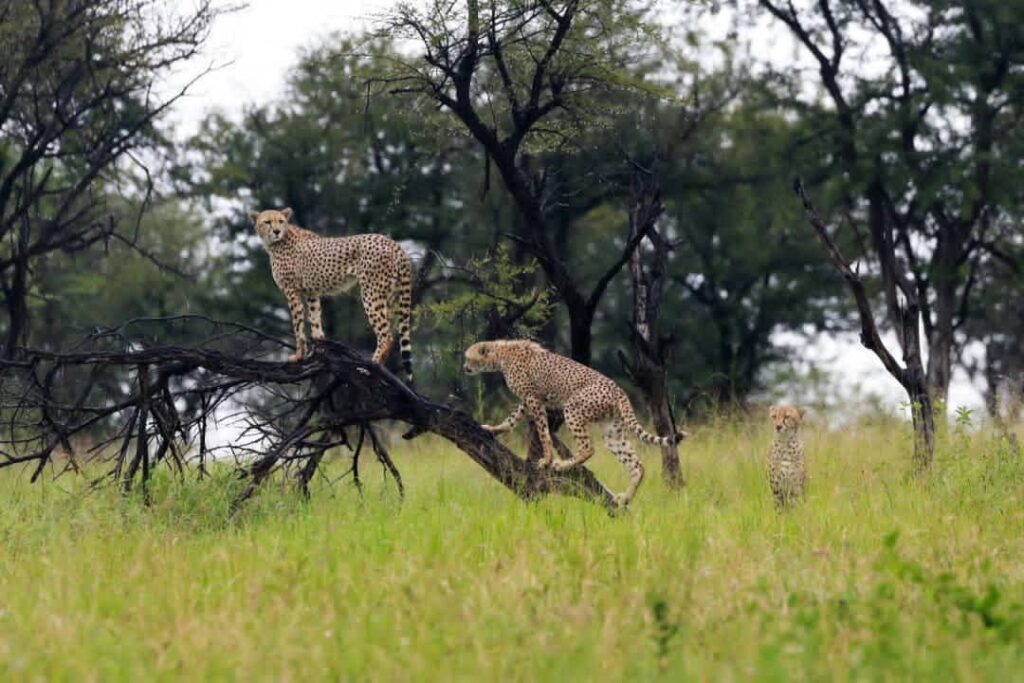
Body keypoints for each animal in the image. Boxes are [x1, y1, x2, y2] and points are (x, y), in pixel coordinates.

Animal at [249, 208, 413, 383]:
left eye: (280, 221)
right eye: (267, 222)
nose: (277, 231)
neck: (277, 242)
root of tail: (391, 241)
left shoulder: (291, 292)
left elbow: (298, 327)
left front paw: (299, 356)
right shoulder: (312, 293)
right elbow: (315, 323)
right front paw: (315, 353)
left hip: (371, 293)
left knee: (386, 335)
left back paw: (369, 368)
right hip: (386, 295)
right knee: (389, 331)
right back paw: (378, 369)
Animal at [463, 339, 686, 507]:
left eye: (468, 357)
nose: (465, 367)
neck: (501, 354)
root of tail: (619, 389)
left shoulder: (534, 399)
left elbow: (543, 432)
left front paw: (546, 460)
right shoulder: (528, 400)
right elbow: (511, 419)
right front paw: (494, 429)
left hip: (572, 409)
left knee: (588, 448)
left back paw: (562, 465)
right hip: (612, 432)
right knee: (637, 465)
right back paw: (625, 498)